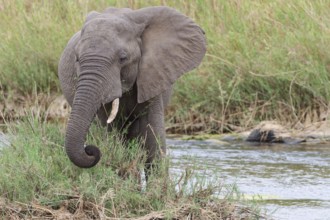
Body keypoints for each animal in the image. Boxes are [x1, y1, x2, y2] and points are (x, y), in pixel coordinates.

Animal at [57, 5, 205, 170]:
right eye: (77, 58)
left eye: (123, 58)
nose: (90, 150)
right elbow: (112, 135)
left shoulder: (152, 77)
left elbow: (154, 142)